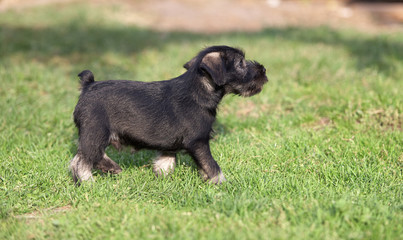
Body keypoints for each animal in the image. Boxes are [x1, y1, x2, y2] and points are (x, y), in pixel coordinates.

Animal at [71, 45, 270, 184]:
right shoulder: (198, 142)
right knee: (83, 160)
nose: (263, 70)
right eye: (240, 64)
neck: (198, 91)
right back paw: (91, 181)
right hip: (96, 132)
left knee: (81, 157)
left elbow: (165, 162)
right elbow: (212, 165)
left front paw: (163, 179)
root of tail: (88, 86)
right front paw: (222, 184)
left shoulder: (170, 145)